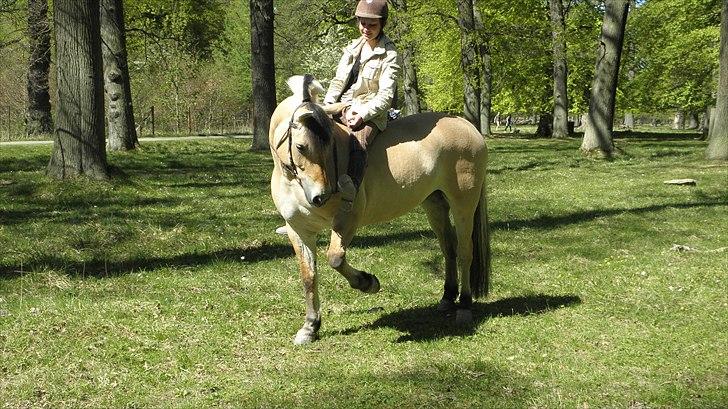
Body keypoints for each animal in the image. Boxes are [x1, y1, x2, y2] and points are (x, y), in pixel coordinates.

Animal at [270, 74, 492, 344]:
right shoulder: (298, 230)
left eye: (331, 144)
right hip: (435, 204)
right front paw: (310, 327)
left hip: (463, 204)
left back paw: (464, 307)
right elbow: (308, 276)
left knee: (464, 252)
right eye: (301, 147)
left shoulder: (347, 221)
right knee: (448, 248)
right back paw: (447, 299)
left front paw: (368, 282)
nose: (321, 195)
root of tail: (466, 124)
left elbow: (335, 258)